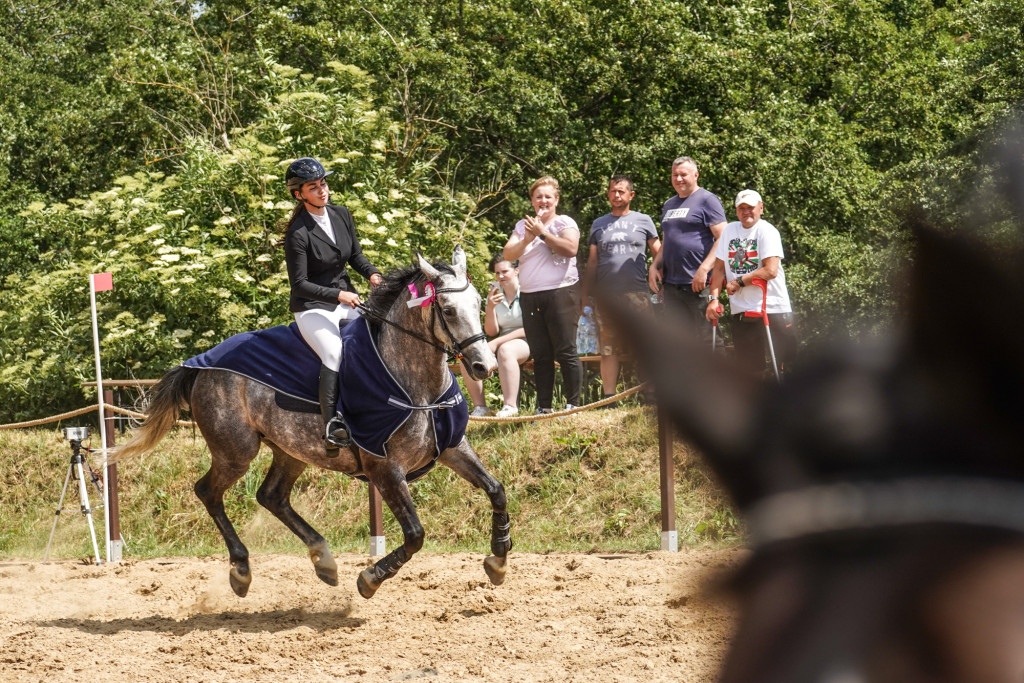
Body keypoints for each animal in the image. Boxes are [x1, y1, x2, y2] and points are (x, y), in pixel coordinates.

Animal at [117, 248, 512, 602]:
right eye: (447, 310)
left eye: (479, 303)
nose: (485, 366)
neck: (416, 383)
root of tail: (200, 363)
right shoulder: (384, 467)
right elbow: (415, 534)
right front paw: (370, 578)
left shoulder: (452, 448)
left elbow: (496, 490)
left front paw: (499, 559)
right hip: (236, 451)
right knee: (208, 492)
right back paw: (241, 570)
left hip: (290, 449)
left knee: (271, 496)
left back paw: (323, 560)